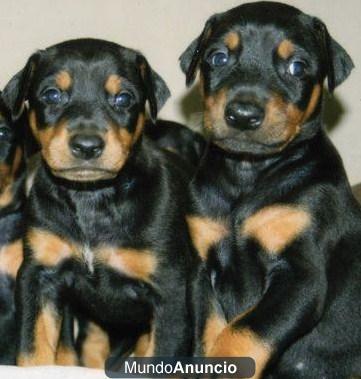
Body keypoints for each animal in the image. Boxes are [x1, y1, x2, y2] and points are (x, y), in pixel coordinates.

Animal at [2, 39, 195, 368]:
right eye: (51, 94)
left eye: (123, 98)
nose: (87, 146)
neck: (90, 198)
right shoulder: (37, 277)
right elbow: (33, 349)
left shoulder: (170, 290)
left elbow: (163, 353)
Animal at [181, 1, 358, 378]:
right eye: (218, 57)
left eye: (297, 66)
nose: (243, 114)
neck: (247, 174)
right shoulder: (203, 274)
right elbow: (208, 337)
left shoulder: (301, 277)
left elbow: (241, 333)